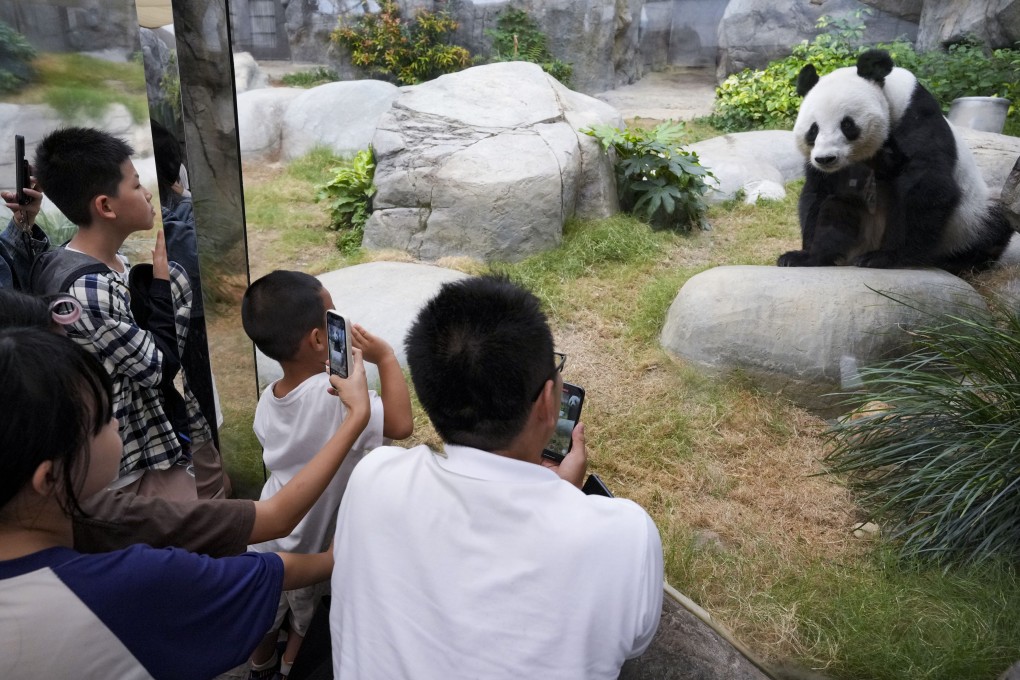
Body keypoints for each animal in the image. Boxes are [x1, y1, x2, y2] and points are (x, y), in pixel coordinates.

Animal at [777, 49, 1013, 275]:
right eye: (813, 130)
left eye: (847, 125)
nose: (826, 159)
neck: (889, 95)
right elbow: (819, 195)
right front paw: (806, 255)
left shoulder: (916, 117)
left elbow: (925, 185)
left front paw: (886, 257)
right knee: (838, 207)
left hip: (969, 220)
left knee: (993, 226)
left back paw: (956, 261)